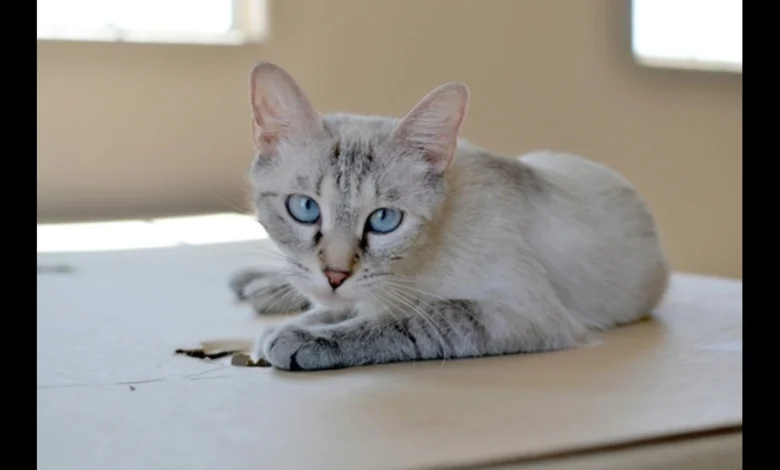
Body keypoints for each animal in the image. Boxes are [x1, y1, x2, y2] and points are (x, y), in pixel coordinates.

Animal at [227, 61, 672, 370]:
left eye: (384, 220)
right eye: (305, 209)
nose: (335, 276)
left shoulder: (518, 313)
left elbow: (404, 321)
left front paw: (301, 338)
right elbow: (335, 307)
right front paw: (292, 324)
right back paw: (256, 286)